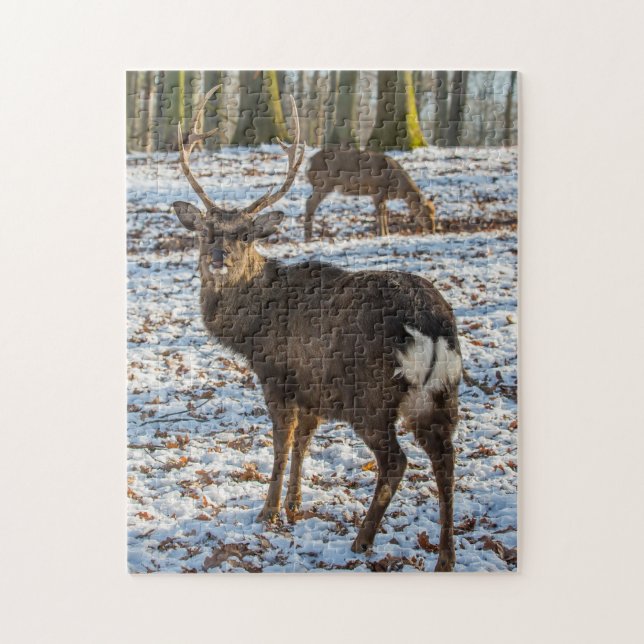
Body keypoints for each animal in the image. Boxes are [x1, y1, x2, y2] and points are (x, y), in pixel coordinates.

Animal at [304, 147, 437, 241]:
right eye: (425, 213)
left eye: (434, 212)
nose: (432, 229)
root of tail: (309, 163)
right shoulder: (376, 191)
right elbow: (380, 212)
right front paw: (382, 234)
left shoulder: (382, 197)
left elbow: (385, 212)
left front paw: (386, 233)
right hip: (324, 183)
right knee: (310, 203)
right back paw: (308, 237)